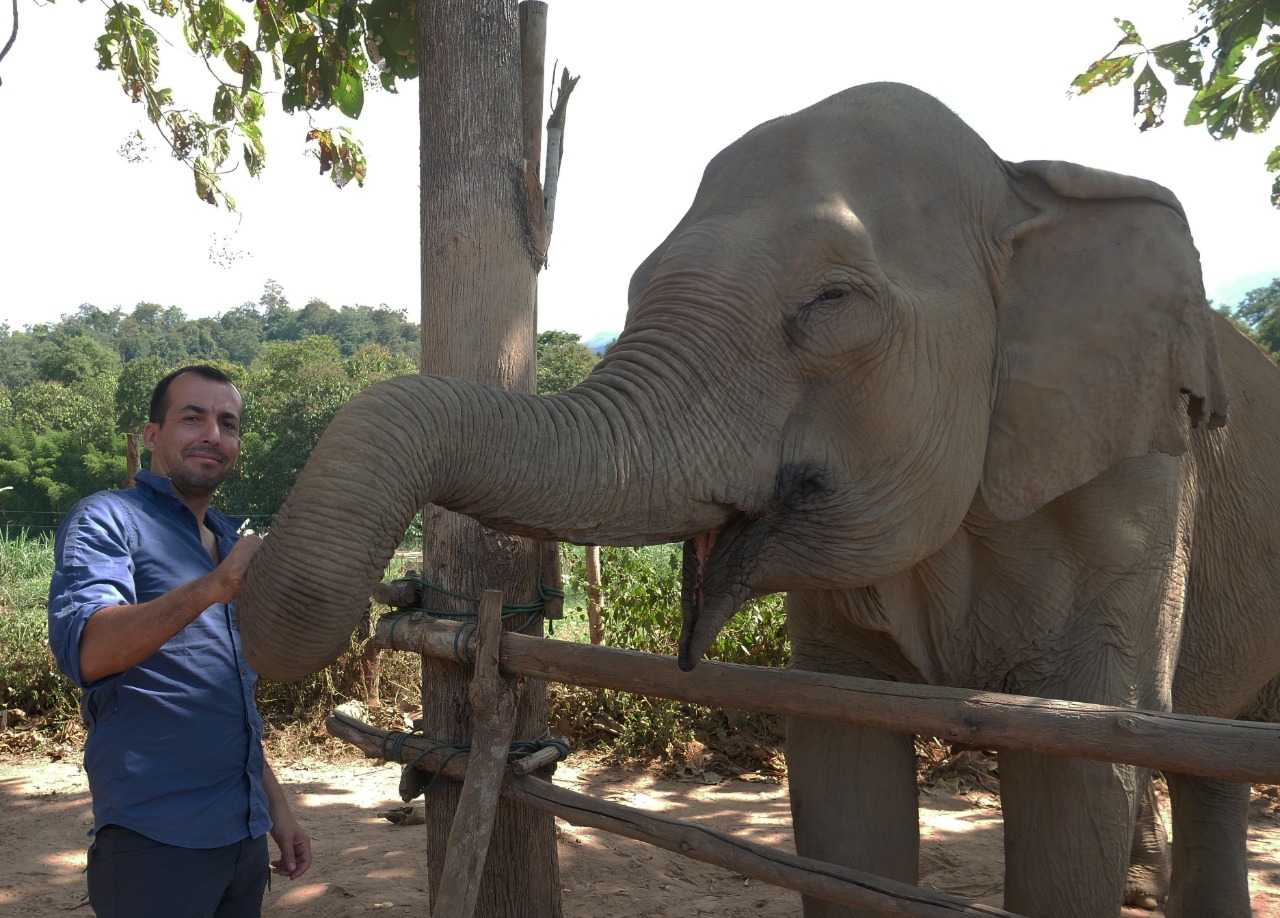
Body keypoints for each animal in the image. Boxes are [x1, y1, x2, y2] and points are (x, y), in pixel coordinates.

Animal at [237, 82, 1280, 917]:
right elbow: (839, 773)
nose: (241, 552)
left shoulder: (1141, 493)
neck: (1023, 186)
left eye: (830, 301)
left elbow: (1079, 783)